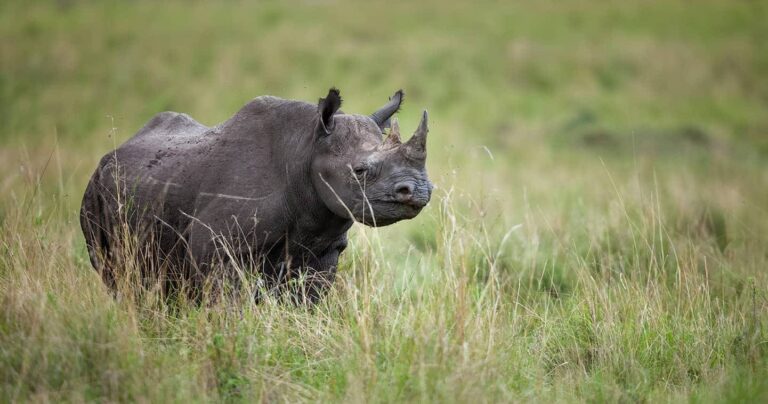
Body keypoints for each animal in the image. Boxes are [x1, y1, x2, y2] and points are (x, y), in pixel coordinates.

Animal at [80, 88, 432, 302]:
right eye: (359, 171)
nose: (418, 190)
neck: (306, 149)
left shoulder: (324, 248)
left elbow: (308, 301)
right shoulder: (217, 245)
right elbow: (228, 306)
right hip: (94, 195)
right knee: (116, 278)